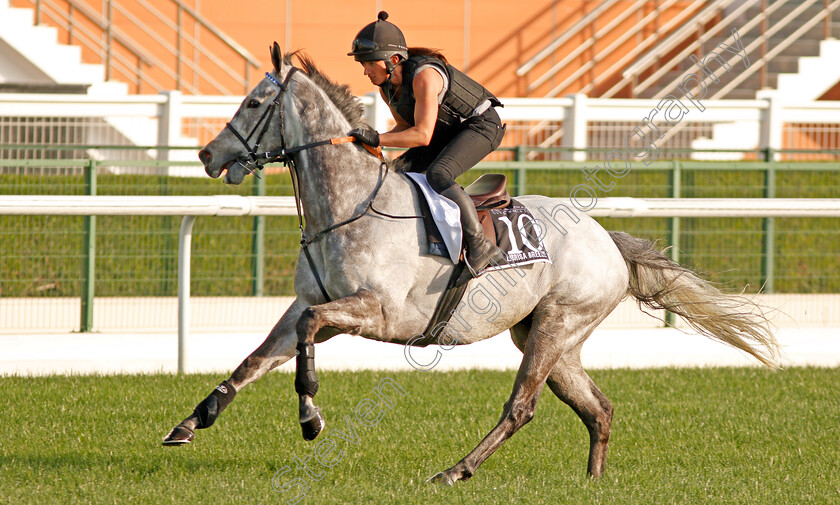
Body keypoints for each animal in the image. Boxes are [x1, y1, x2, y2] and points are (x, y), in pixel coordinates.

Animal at [164, 45, 780, 482]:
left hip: (557, 324)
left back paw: (455, 470)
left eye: (252, 103)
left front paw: (310, 418)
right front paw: (191, 423)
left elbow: (308, 340)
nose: (206, 154)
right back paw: (593, 482)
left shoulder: (377, 314)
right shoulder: (308, 303)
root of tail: (607, 239)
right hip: (549, 336)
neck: (345, 207)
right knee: (598, 407)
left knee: (521, 407)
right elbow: (256, 359)